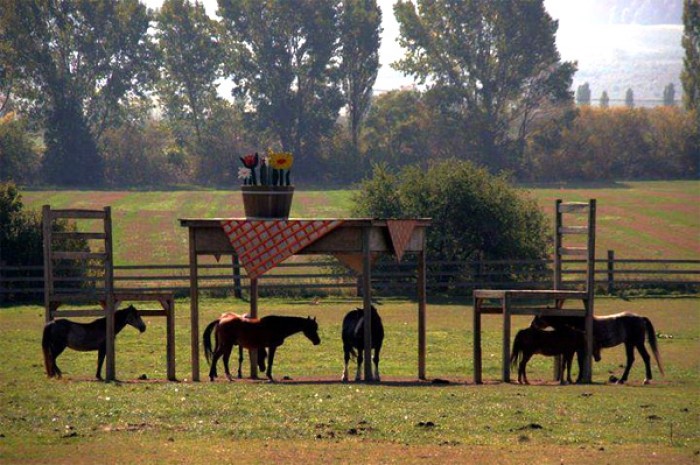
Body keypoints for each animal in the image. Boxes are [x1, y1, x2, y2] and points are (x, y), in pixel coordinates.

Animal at [531, 312, 664, 384]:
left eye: (538, 317)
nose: (531, 325)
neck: (576, 323)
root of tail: (640, 318)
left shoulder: (580, 349)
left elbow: (580, 362)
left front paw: (579, 379)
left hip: (637, 342)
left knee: (646, 357)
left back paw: (646, 379)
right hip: (629, 343)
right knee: (631, 359)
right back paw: (622, 379)